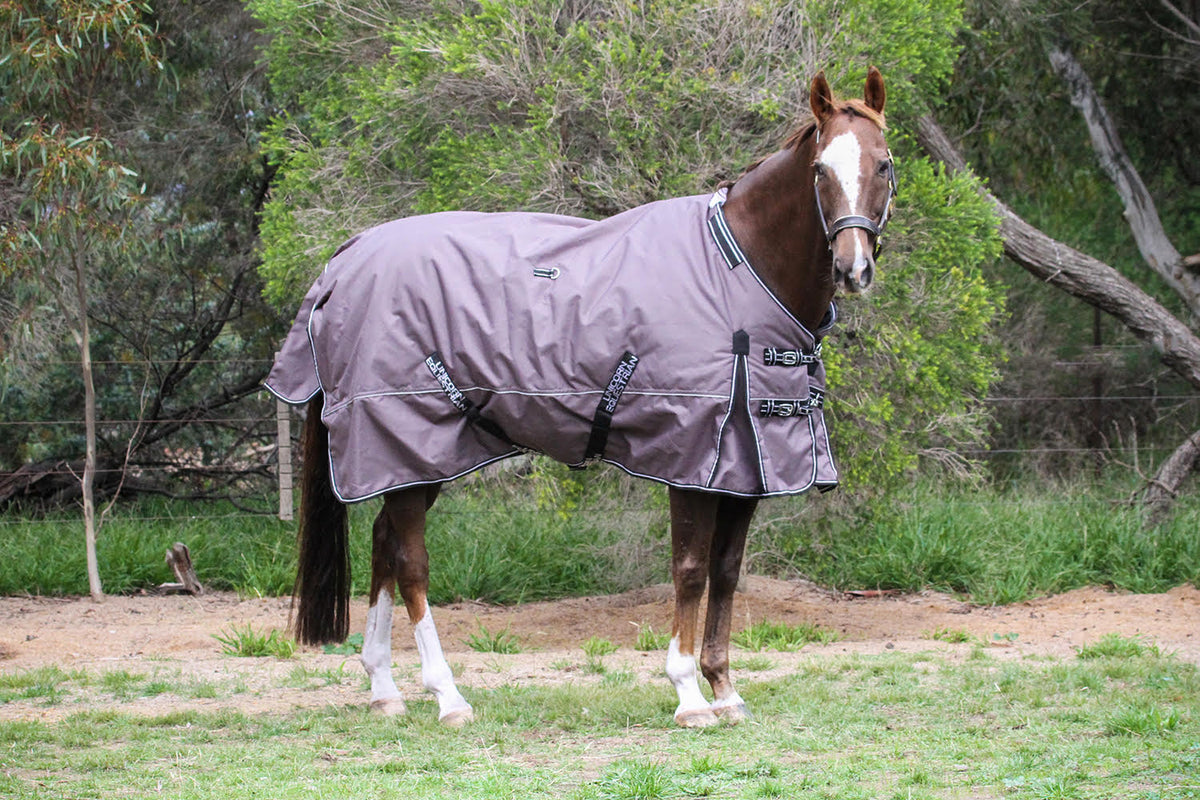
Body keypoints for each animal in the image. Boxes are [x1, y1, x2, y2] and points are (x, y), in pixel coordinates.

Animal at [265, 68, 895, 728]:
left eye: (883, 164)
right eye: (820, 169)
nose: (853, 268)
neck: (737, 272)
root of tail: (344, 259)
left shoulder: (747, 468)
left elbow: (725, 574)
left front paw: (725, 691)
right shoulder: (692, 460)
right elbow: (691, 571)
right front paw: (689, 696)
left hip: (416, 458)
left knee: (384, 544)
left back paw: (384, 687)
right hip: (407, 440)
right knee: (410, 560)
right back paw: (447, 696)